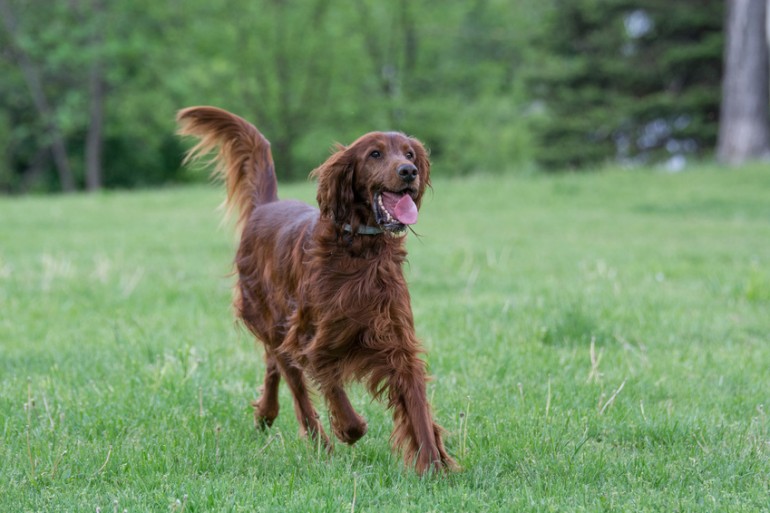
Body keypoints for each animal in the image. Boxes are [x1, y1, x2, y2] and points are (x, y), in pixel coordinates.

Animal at [178, 106, 456, 474]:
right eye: (375, 154)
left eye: (410, 154)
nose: (408, 171)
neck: (359, 250)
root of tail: (264, 207)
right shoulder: (310, 336)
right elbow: (331, 384)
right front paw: (349, 428)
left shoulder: (396, 340)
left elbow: (416, 405)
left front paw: (433, 466)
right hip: (272, 319)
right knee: (294, 385)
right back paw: (319, 442)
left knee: (273, 363)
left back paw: (266, 414)